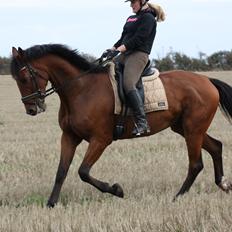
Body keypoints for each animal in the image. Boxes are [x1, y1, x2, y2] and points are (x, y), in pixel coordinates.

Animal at [10, 44, 232, 208]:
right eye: (16, 79)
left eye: (24, 78)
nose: (31, 109)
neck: (81, 90)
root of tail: (206, 80)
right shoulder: (69, 137)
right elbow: (61, 171)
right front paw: (50, 204)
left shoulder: (100, 140)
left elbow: (83, 171)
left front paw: (117, 190)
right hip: (186, 128)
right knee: (216, 146)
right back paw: (223, 184)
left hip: (193, 129)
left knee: (196, 164)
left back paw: (177, 198)